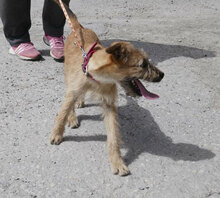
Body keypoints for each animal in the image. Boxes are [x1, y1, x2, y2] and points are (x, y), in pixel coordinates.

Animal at [49, 0, 163, 176]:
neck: (99, 77)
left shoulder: (109, 105)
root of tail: (80, 28)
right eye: (143, 65)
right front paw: (57, 133)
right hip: (68, 76)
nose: (162, 75)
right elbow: (62, 113)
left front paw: (117, 161)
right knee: (70, 101)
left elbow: (113, 135)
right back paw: (72, 116)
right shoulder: (73, 90)